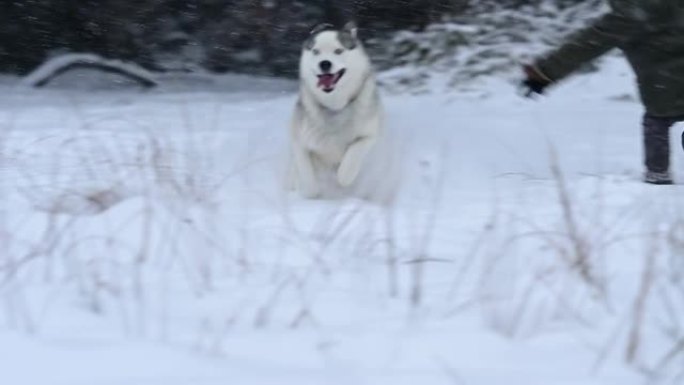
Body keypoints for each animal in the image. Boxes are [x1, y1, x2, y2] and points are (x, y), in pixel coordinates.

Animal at [288, 21, 384, 198]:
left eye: (338, 51)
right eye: (316, 51)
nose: (324, 63)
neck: (335, 107)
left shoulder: (368, 135)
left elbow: (352, 159)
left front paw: (344, 177)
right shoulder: (300, 140)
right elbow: (306, 174)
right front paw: (311, 192)